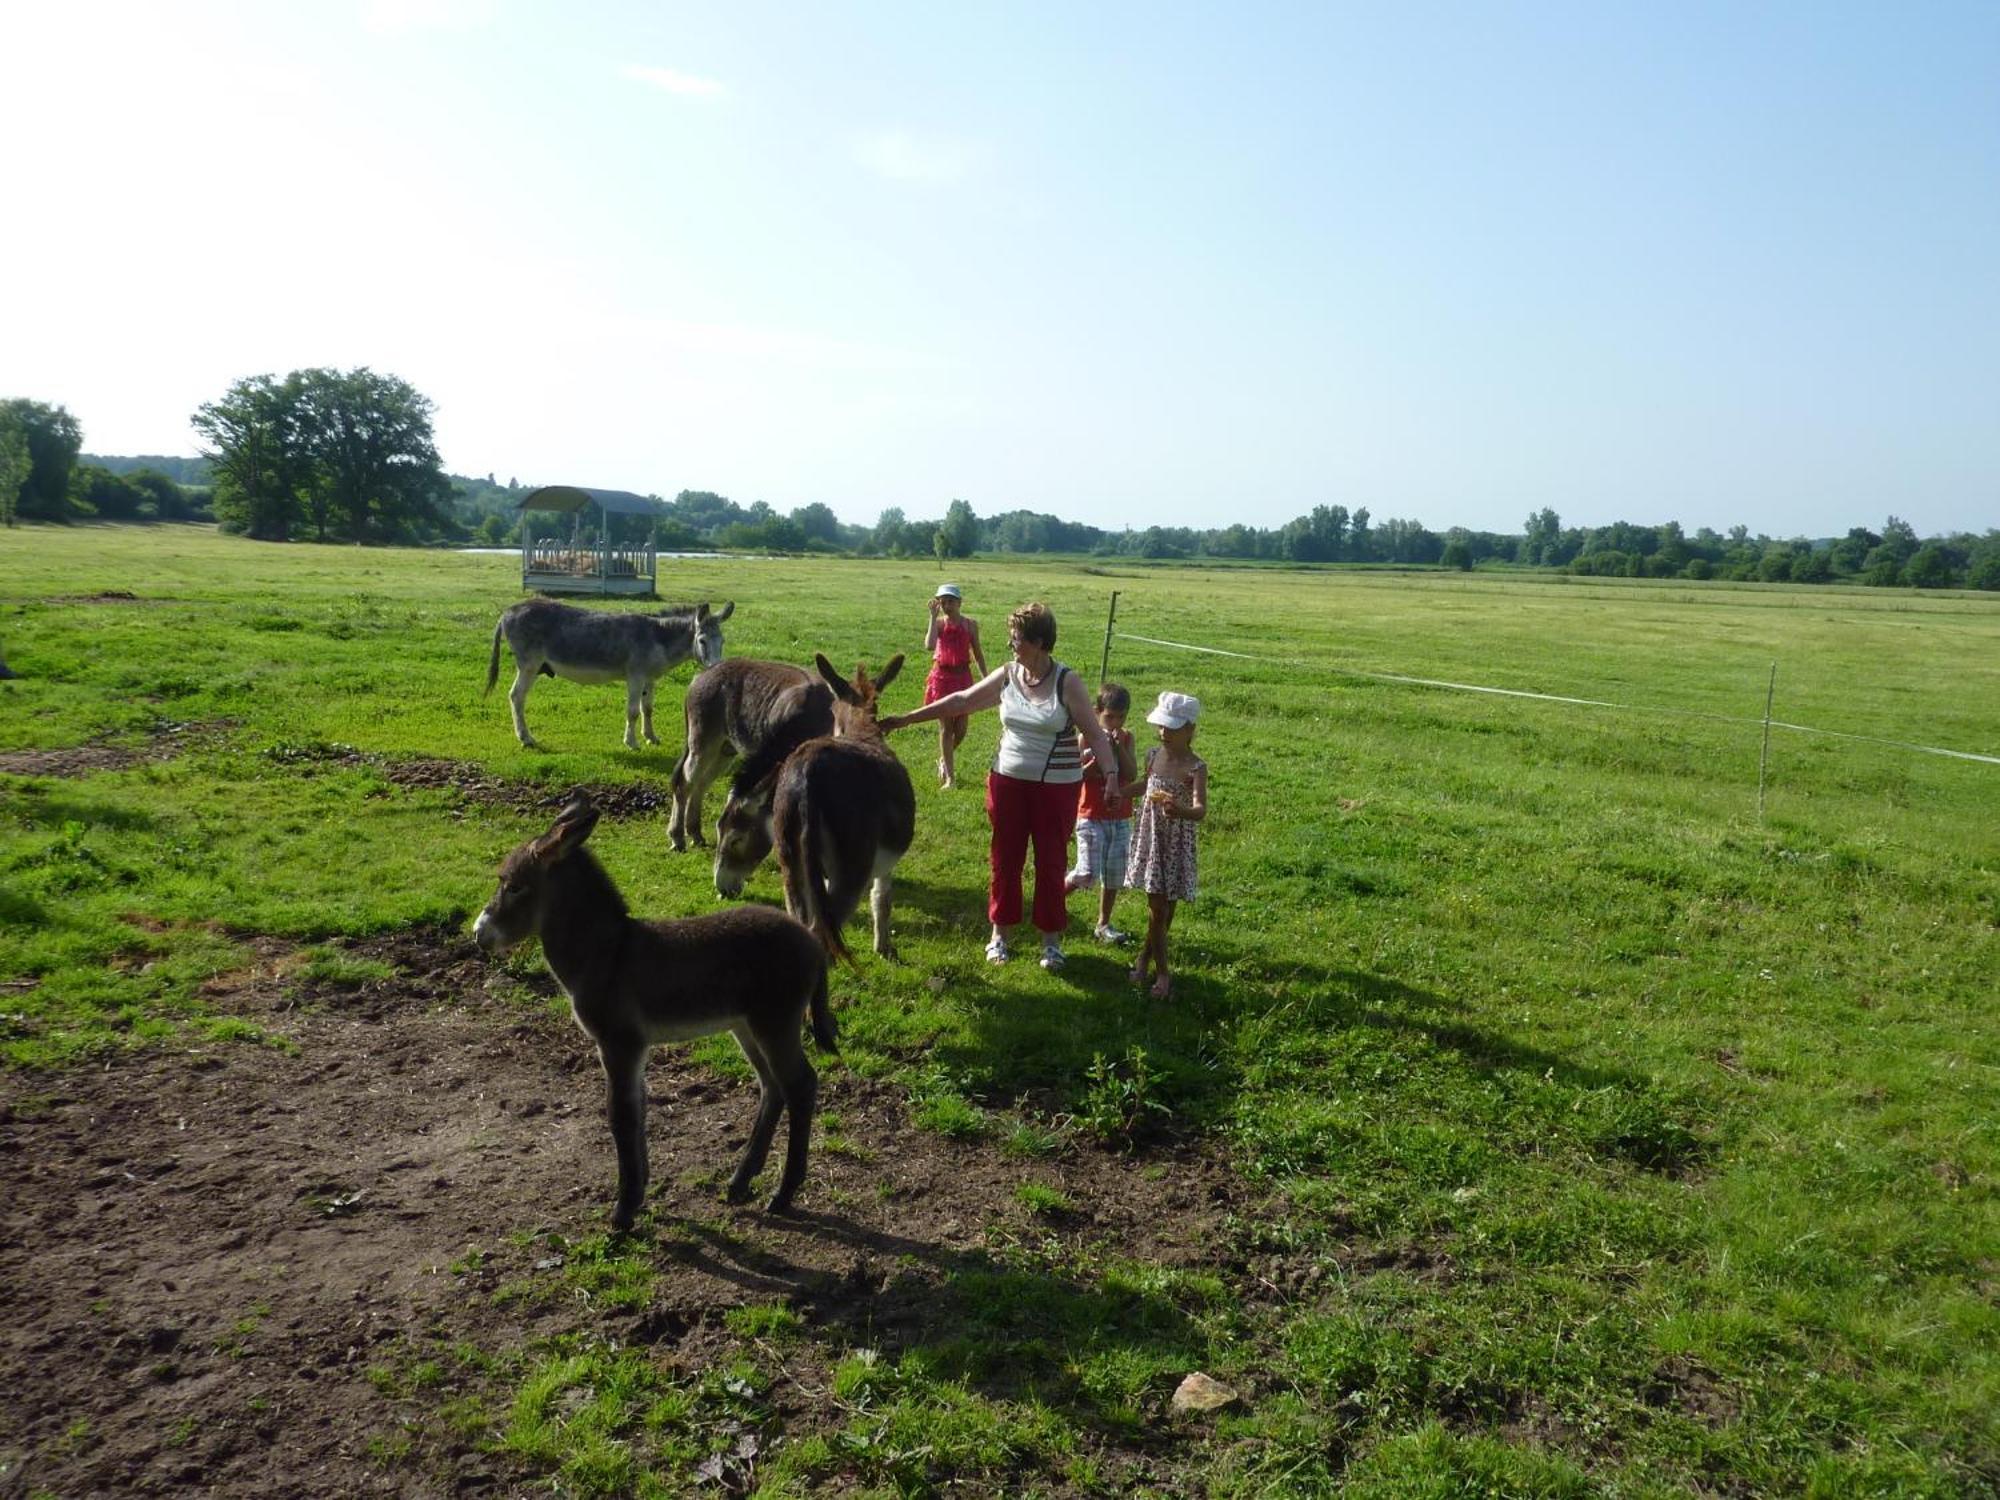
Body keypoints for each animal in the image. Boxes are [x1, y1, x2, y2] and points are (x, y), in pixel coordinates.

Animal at [472, 800, 832, 1232]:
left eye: (513, 886)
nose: (478, 933)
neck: (607, 954)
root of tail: (811, 940)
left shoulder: (619, 1043)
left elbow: (621, 1116)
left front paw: (624, 1211)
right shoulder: (632, 1048)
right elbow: (638, 1111)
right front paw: (639, 1194)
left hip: (775, 1023)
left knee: (800, 1086)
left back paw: (783, 1193)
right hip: (746, 1026)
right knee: (773, 1087)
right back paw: (740, 1181)